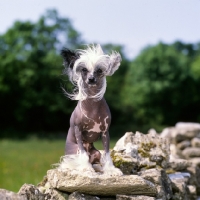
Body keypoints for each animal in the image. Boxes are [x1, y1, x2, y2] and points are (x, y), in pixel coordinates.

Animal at [58, 44, 122, 175]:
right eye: (84, 70)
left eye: (99, 70)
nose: (91, 79)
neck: (93, 106)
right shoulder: (78, 130)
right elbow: (83, 155)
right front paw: (86, 168)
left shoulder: (105, 132)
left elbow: (107, 153)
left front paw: (111, 169)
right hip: (75, 151)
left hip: (96, 152)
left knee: (96, 160)